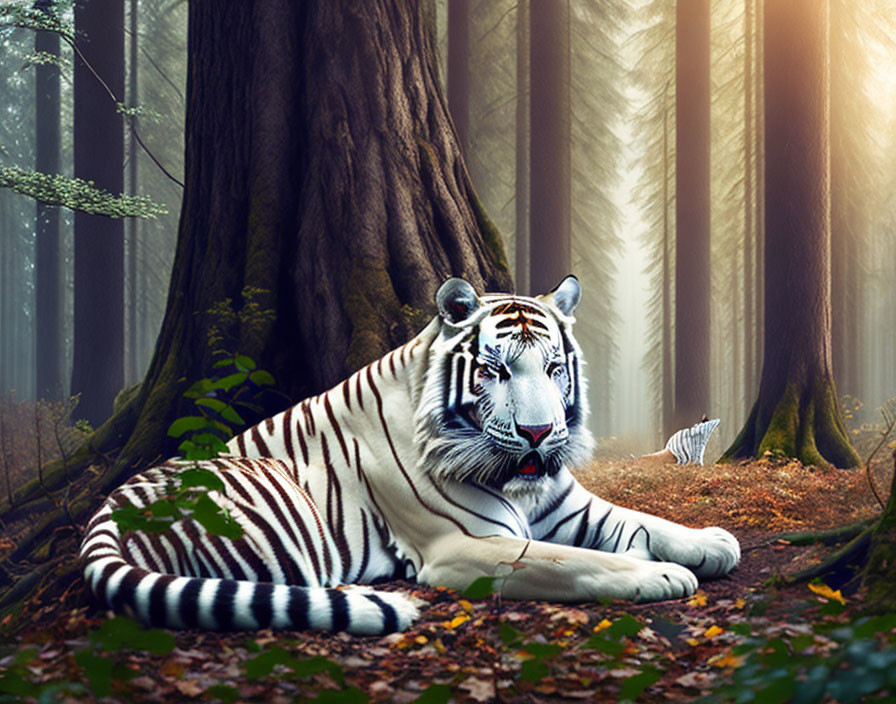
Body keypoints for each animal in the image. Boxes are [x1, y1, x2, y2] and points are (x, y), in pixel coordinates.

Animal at [80, 278, 740, 636]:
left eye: (554, 367)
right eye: (497, 371)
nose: (538, 432)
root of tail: (109, 506)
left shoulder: (569, 506)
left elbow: (643, 521)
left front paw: (711, 541)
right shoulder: (466, 545)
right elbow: (574, 560)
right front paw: (659, 574)